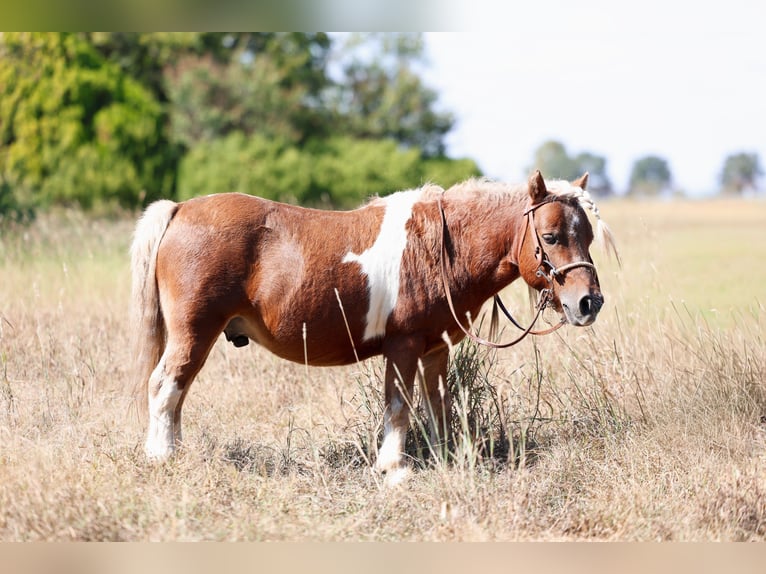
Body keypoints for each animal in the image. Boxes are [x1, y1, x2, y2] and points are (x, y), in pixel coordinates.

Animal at [130, 170, 617, 483]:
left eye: (589, 236)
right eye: (551, 237)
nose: (589, 302)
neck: (439, 248)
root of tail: (180, 210)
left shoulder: (435, 349)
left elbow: (438, 405)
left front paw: (446, 458)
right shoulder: (403, 346)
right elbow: (399, 406)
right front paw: (393, 468)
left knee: (176, 391)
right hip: (195, 333)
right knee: (165, 385)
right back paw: (161, 457)